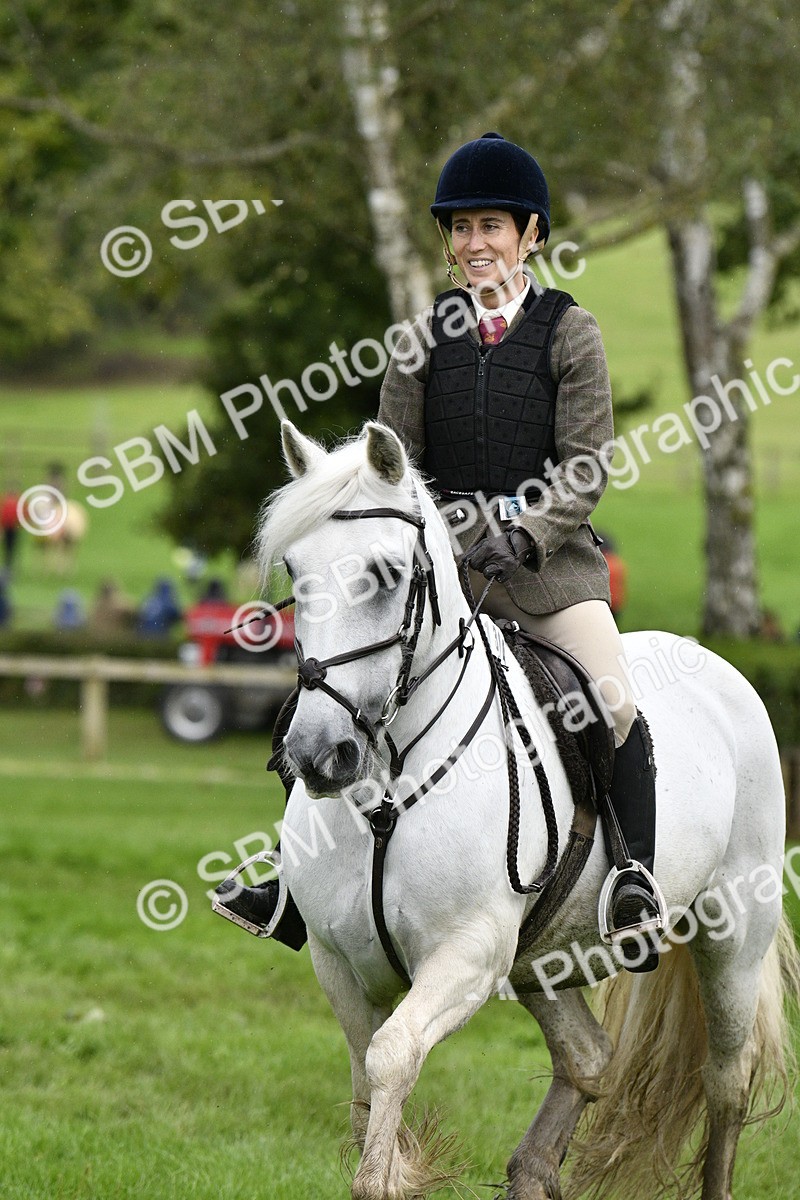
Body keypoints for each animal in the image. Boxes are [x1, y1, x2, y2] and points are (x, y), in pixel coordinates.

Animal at [254, 418, 799, 1200]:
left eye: (386, 576)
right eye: (296, 573)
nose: (319, 754)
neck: (387, 786)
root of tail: (717, 665)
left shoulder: (469, 954)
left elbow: (391, 1059)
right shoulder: (339, 961)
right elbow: (366, 1089)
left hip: (732, 933)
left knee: (727, 1079)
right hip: (542, 954)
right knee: (589, 1056)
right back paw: (532, 1171)